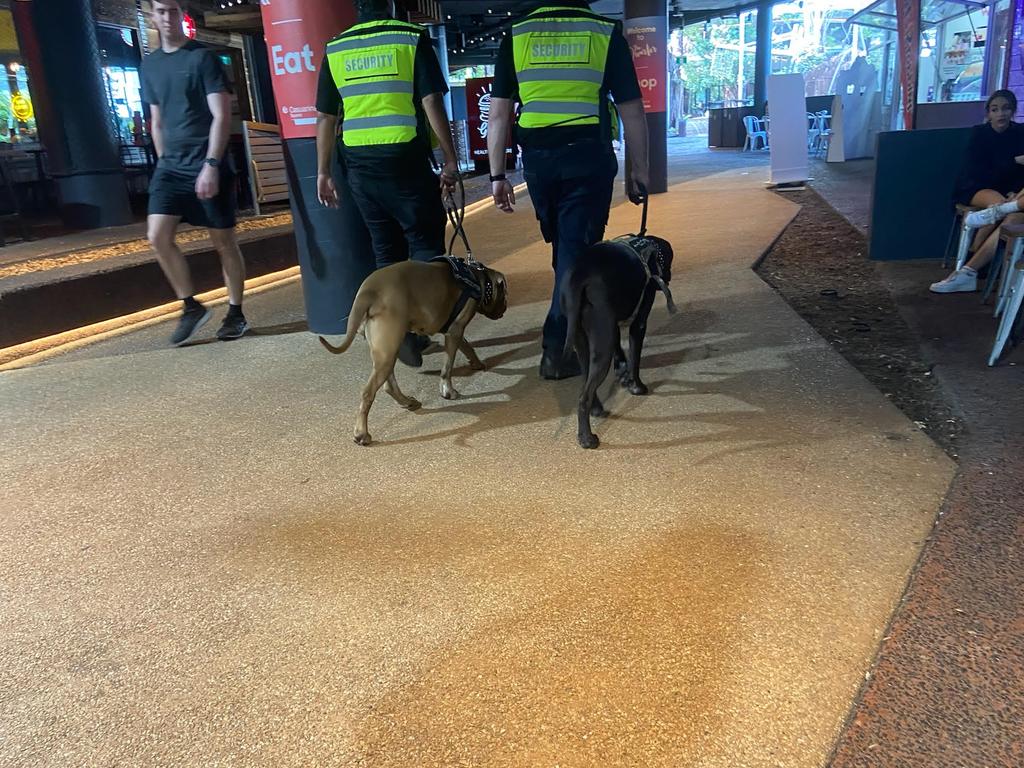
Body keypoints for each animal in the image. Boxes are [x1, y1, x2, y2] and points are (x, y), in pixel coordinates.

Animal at [319, 259, 507, 444]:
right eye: (504, 294)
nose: (504, 310)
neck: (478, 277)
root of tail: (368, 291)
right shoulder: (456, 329)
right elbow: (447, 367)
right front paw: (448, 391)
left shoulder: (454, 332)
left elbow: (468, 347)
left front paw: (477, 363)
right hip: (387, 351)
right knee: (367, 392)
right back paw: (361, 434)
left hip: (385, 352)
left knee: (389, 386)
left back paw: (408, 402)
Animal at [561, 237, 671, 448]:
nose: (668, 277)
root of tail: (579, 276)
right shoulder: (639, 323)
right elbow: (635, 359)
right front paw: (637, 387)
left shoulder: (614, 327)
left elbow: (620, 350)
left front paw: (623, 373)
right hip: (602, 346)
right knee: (583, 398)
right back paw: (587, 439)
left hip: (585, 343)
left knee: (586, 382)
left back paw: (596, 410)